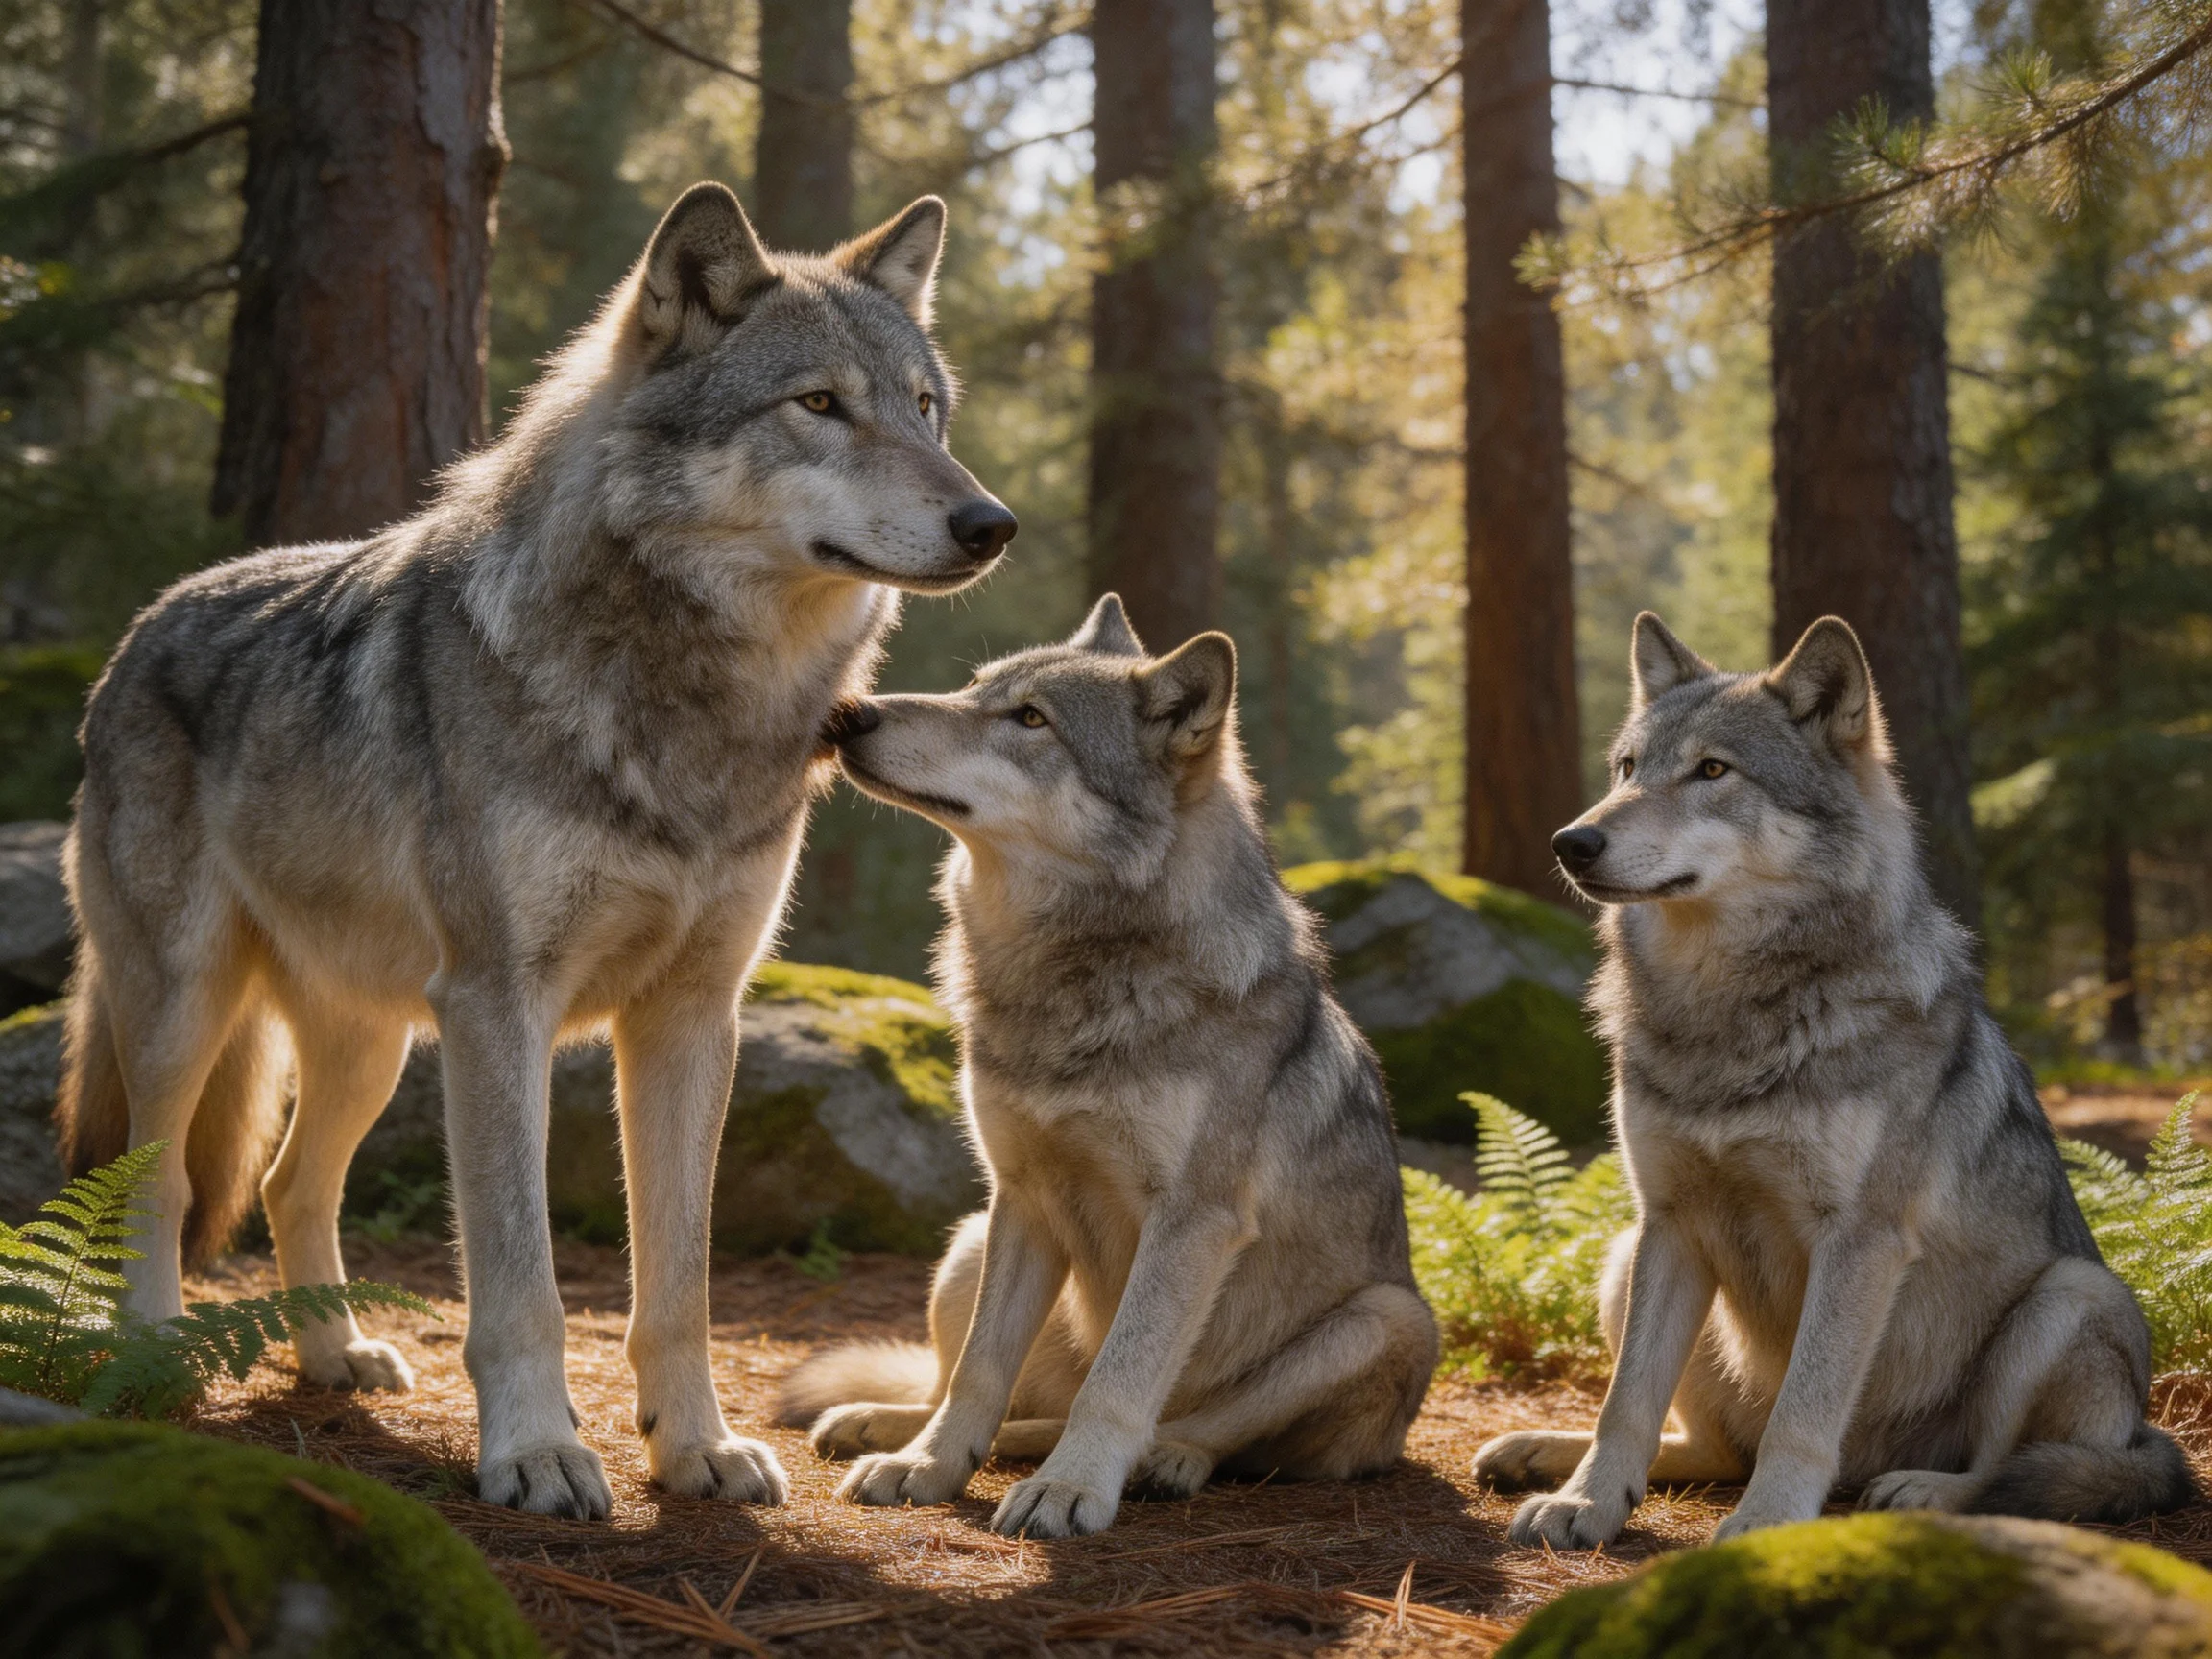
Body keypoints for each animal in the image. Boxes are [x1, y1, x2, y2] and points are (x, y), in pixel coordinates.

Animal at [56, 183, 1016, 1519]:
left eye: (926, 408)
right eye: (819, 404)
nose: (992, 523)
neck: (692, 712)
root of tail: (140, 627)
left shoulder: (692, 1017)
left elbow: (679, 1286)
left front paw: (697, 1449)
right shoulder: (500, 1007)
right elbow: (520, 1282)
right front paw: (536, 1454)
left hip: (378, 1044)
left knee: (293, 1182)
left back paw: (334, 1356)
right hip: (191, 1008)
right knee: (166, 1183)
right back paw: (152, 1356)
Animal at [772, 595, 1437, 1537]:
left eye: (1031, 720)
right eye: (973, 689)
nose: (848, 713)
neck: (1073, 978)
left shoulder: (1193, 1223)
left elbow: (1121, 1379)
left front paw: (1072, 1488)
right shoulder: (1019, 1195)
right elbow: (978, 1373)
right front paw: (927, 1468)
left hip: (1389, 1317)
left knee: (1207, 1429)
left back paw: (1155, 1462)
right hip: (966, 1243)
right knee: (981, 1392)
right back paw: (889, 1425)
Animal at [1472, 613, 2195, 1546]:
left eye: (1713, 771)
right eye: (1627, 768)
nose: (1572, 841)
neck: (1730, 1017)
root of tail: (2146, 1431)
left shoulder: (1860, 1243)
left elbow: (1804, 1412)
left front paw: (1770, 1527)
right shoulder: (1668, 1222)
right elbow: (1624, 1402)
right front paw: (1586, 1504)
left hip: (2069, 1299)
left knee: (2005, 1469)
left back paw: (1920, 1490)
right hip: (1621, 1254)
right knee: (1708, 1446)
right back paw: (1538, 1452)